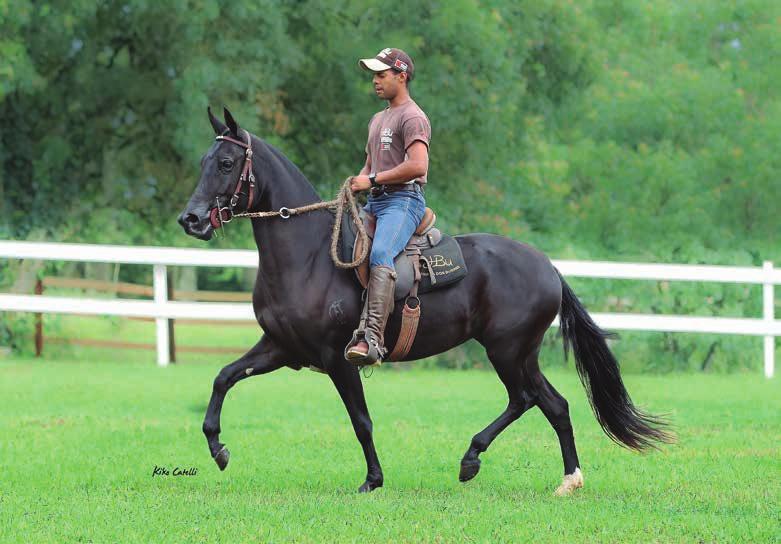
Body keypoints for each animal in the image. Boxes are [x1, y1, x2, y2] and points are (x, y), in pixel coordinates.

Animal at [178, 108, 672, 496]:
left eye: (226, 163)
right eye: (203, 162)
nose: (191, 218)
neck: (310, 256)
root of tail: (548, 268)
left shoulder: (338, 357)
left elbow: (361, 421)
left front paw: (373, 480)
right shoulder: (281, 348)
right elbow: (223, 378)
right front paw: (218, 449)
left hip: (507, 350)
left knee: (527, 398)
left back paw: (473, 459)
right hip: (521, 353)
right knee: (553, 404)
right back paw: (566, 479)